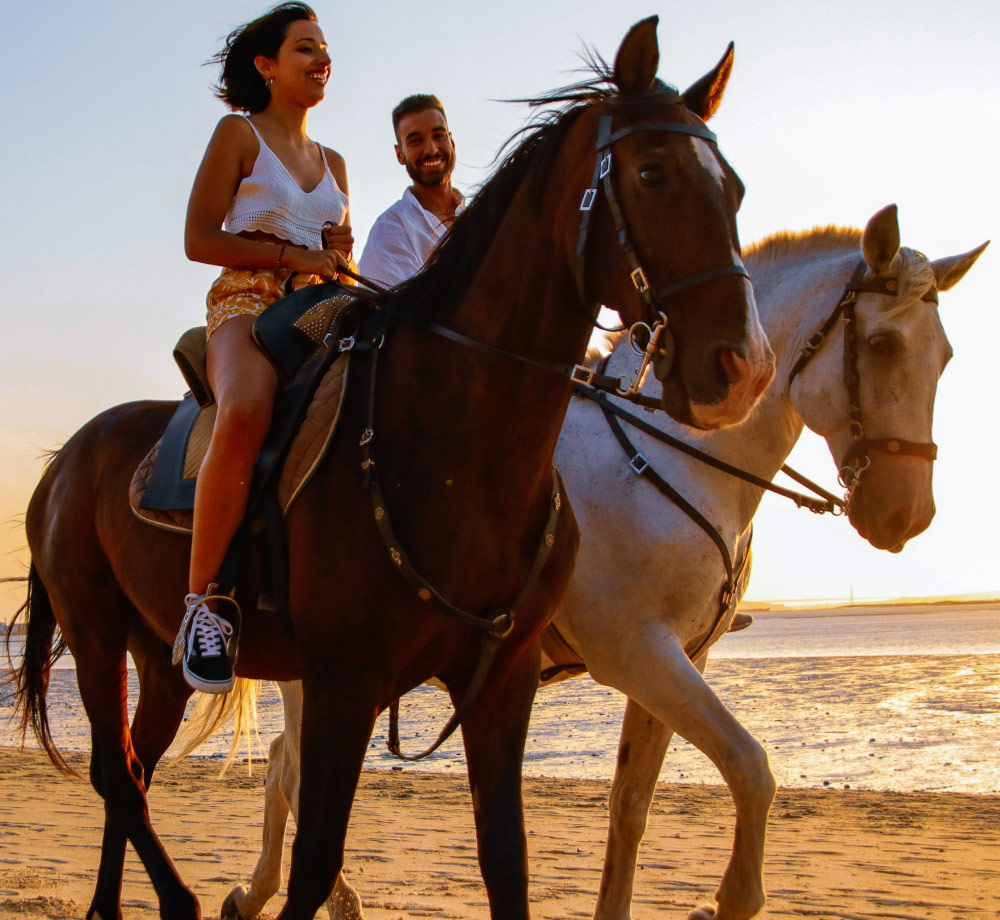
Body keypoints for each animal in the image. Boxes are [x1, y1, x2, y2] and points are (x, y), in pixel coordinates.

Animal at [10, 18, 774, 920]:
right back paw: (183, 900)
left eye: (735, 188)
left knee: (128, 767)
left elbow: (506, 860)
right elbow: (313, 863)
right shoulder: (345, 684)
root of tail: (65, 460)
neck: (452, 451)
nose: (744, 369)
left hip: (156, 651)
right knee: (116, 773)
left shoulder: (502, 684)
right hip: (94, 629)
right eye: (652, 173)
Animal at [225, 204, 985, 920]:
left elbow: (631, 803)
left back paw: (263, 893)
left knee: (281, 763)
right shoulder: (637, 652)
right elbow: (751, 767)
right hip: (325, 671)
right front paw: (726, 900)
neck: (670, 457)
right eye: (882, 344)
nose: (907, 516)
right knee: (295, 770)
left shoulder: (683, 658)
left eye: (947, 356)